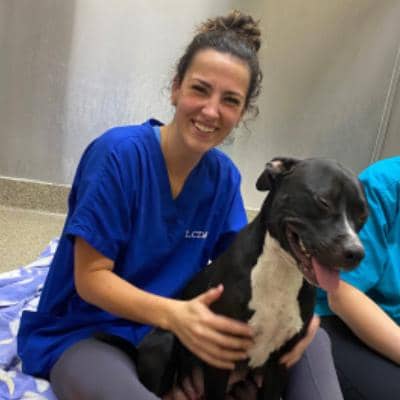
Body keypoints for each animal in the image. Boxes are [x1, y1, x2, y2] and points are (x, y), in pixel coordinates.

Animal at [135, 157, 368, 399]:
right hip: (164, 341)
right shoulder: (221, 354)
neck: (281, 271)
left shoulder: (281, 362)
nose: (356, 253)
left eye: (363, 215)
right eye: (323, 201)